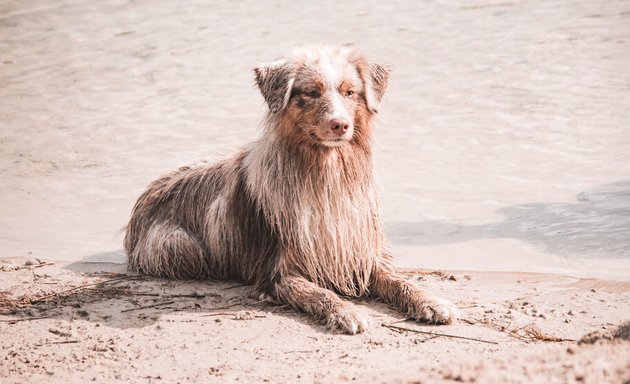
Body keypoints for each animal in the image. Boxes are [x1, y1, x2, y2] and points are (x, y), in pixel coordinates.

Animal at [124, 45, 460, 332]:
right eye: (311, 92)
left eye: (350, 92)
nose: (340, 124)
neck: (326, 172)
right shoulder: (278, 270)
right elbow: (320, 293)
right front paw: (347, 312)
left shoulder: (362, 253)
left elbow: (400, 280)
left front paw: (432, 301)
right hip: (179, 244)